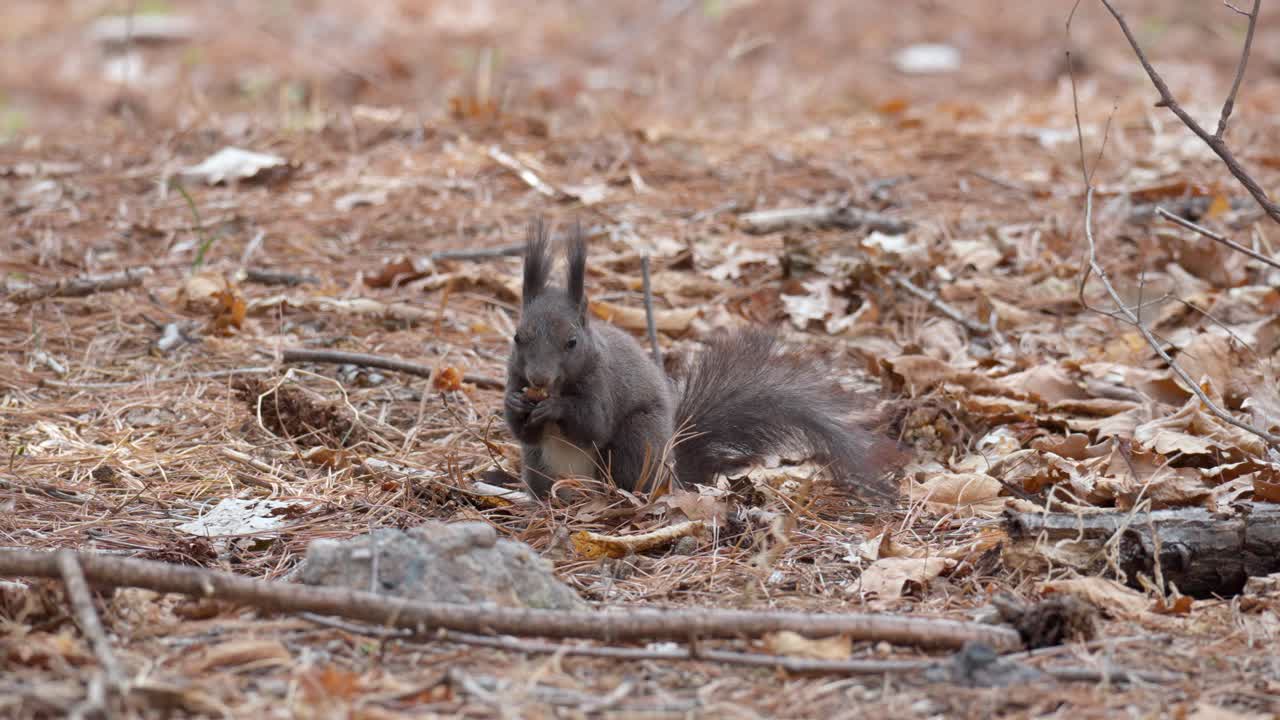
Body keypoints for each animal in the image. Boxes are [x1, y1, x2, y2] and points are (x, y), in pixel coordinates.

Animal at [503, 219, 901, 501]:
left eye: (571, 342)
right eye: (517, 337)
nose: (538, 379)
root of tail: (671, 475)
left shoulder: (605, 383)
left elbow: (593, 423)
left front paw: (555, 408)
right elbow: (521, 430)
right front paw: (515, 404)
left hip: (636, 441)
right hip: (538, 463)